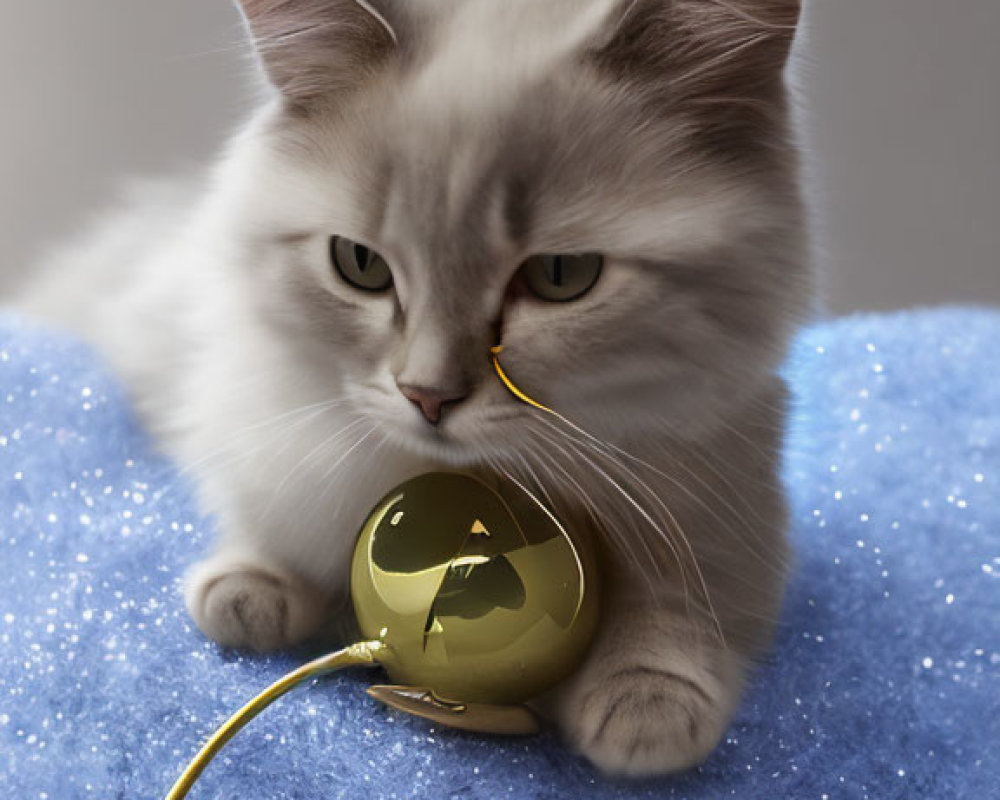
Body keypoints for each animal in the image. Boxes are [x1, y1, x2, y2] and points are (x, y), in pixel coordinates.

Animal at [17, 0, 812, 776]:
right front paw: (249, 593)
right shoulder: (254, 417)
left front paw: (646, 704)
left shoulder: (723, 502)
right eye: (360, 264)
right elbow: (266, 520)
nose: (428, 396)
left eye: (562, 276)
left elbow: (679, 611)